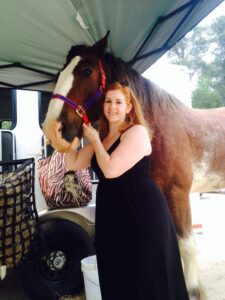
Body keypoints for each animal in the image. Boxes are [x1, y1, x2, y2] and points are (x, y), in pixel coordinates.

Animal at [42, 32, 225, 300]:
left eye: (86, 71)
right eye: (59, 73)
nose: (52, 130)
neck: (156, 130)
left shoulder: (178, 195)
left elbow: (187, 247)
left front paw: (193, 291)